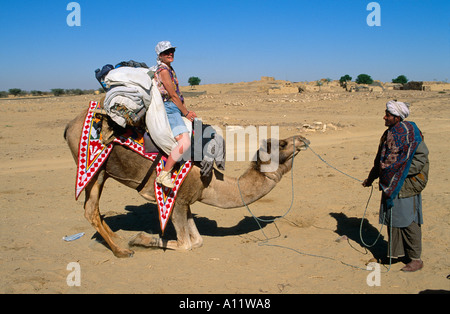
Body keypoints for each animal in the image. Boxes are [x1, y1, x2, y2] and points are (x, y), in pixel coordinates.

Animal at [64, 108, 310, 258]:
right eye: (283, 144)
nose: (303, 139)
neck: (209, 182)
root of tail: (69, 126)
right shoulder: (175, 201)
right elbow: (186, 244)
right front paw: (139, 238)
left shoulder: (185, 202)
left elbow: (198, 241)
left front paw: (137, 238)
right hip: (95, 170)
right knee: (90, 209)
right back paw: (121, 250)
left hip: (102, 172)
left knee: (94, 210)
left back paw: (117, 237)